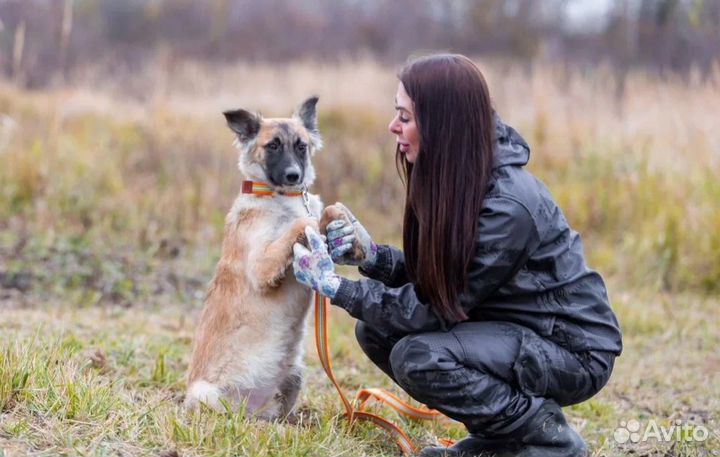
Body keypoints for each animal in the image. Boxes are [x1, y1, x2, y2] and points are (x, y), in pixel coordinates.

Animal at [184, 97, 322, 420]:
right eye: (272, 146)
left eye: (301, 146)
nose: (293, 176)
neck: (281, 197)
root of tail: (250, 410)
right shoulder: (262, 266)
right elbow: (299, 225)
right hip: (206, 394)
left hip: (296, 374)